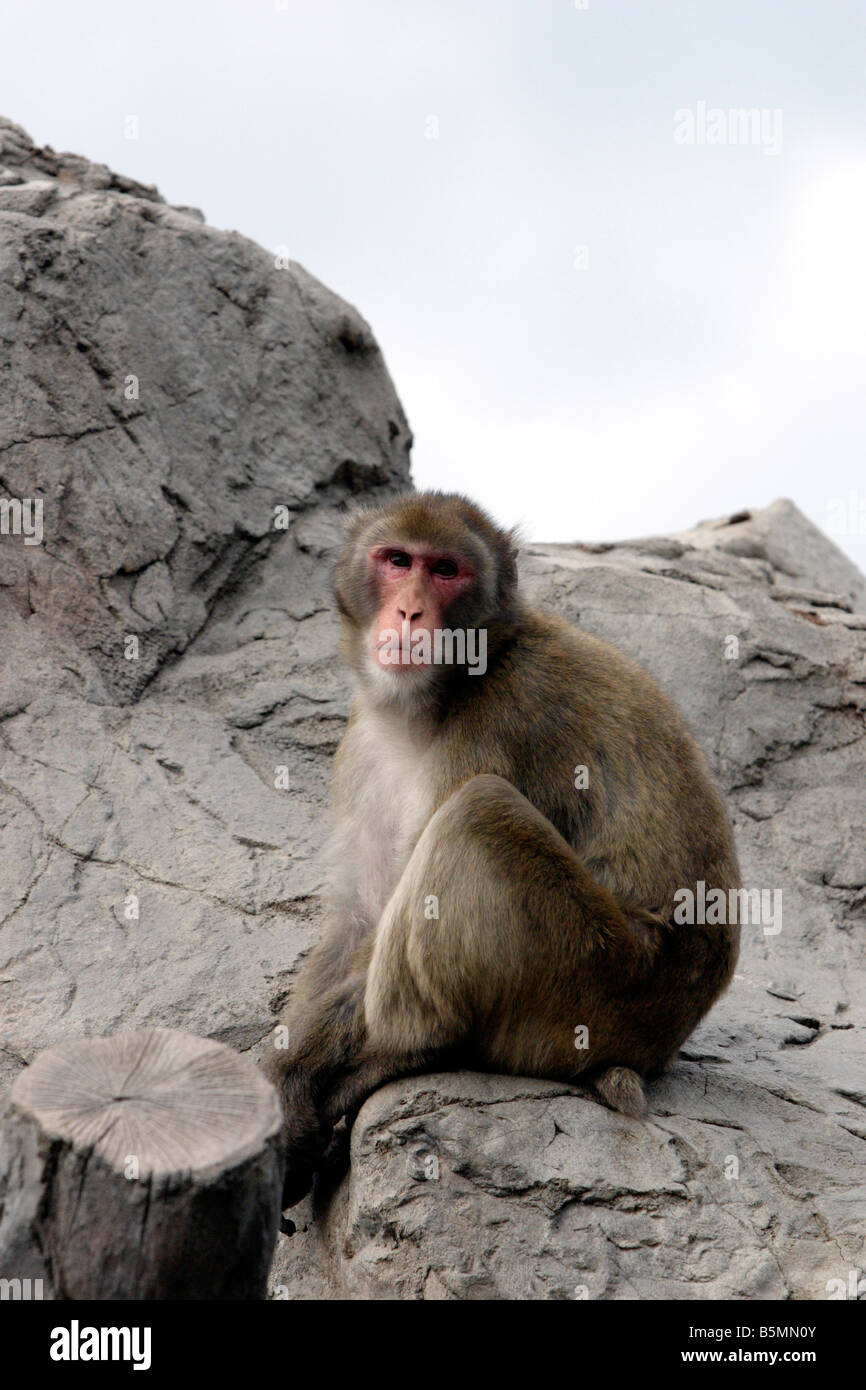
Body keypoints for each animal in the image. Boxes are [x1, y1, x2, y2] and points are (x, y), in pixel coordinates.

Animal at [263, 491, 741, 1207]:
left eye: (446, 571)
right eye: (397, 560)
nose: (409, 611)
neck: (443, 691)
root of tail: (659, 1047)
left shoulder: (502, 720)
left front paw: (289, 1083)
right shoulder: (362, 742)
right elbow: (359, 919)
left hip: (594, 978)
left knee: (478, 814)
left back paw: (416, 1050)